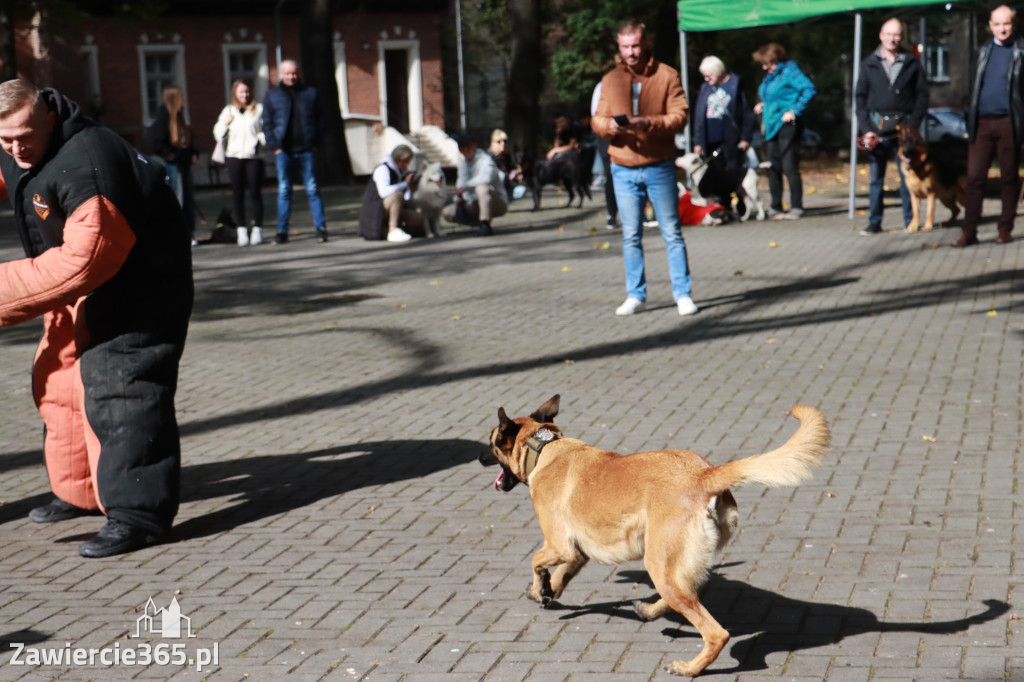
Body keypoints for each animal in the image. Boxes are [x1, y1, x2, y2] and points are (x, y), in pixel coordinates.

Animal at [481, 393, 831, 675]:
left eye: (491, 442)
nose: (479, 457)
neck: (543, 447)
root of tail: (704, 474)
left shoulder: (558, 544)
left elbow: (536, 562)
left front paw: (539, 588)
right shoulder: (578, 550)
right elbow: (562, 574)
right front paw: (547, 591)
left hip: (660, 563)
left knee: (715, 632)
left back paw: (689, 667)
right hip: (673, 565)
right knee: (691, 590)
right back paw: (650, 611)